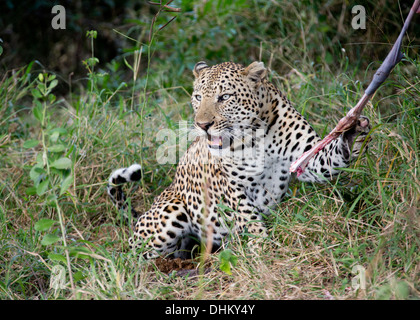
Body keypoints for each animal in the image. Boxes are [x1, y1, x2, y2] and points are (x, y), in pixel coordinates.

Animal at [106, 60, 370, 260]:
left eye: (224, 97)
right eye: (198, 97)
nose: (202, 125)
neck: (259, 135)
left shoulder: (309, 159)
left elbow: (332, 156)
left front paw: (354, 130)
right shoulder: (230, 184)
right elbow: (247, 214)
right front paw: (260, 245)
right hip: (170, 212)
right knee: (133, 252)